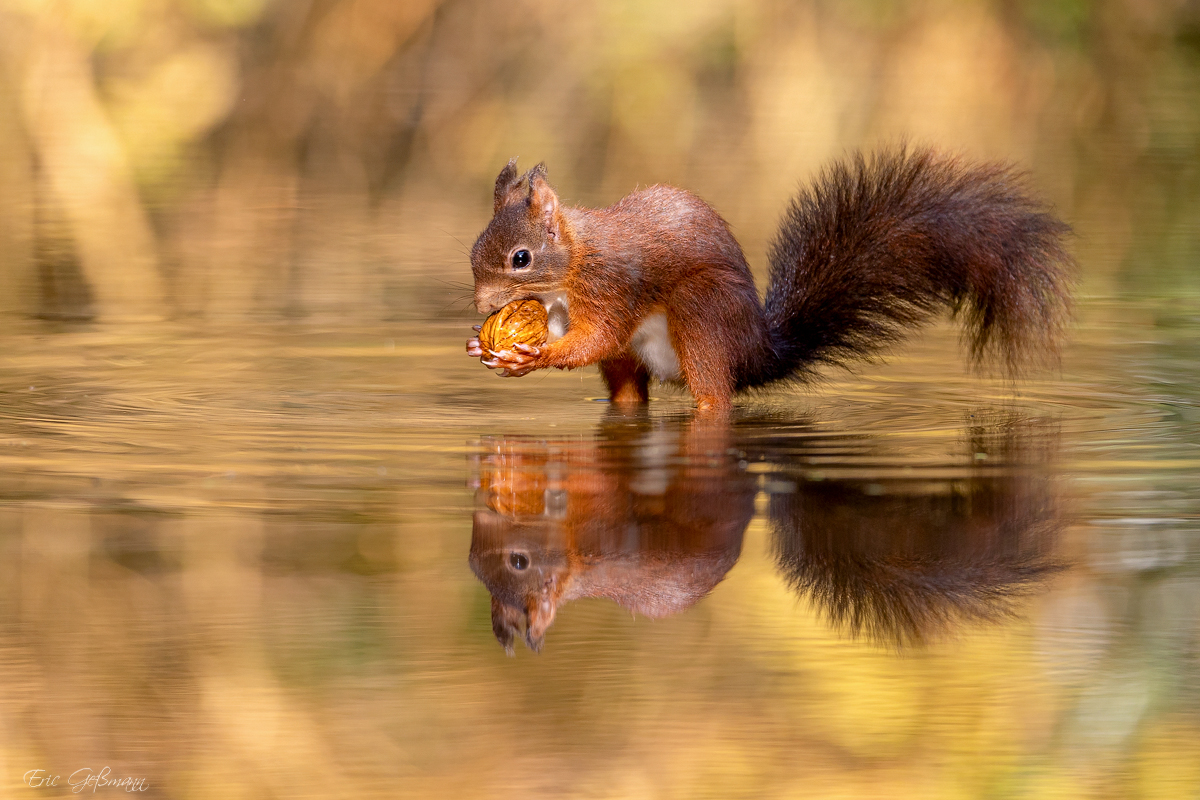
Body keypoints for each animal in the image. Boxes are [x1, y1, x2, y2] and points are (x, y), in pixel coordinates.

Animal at [463, 148, 1075, 412]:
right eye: (473, 250)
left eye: (521, 258)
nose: (481, 303)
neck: (568, 271)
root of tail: (757, 350)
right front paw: (482, 344)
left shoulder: (613, 283)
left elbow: (596, 335)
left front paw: (533, 355)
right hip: (637, 364)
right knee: (630, 394)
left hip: (701, 317)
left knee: (712, 398)